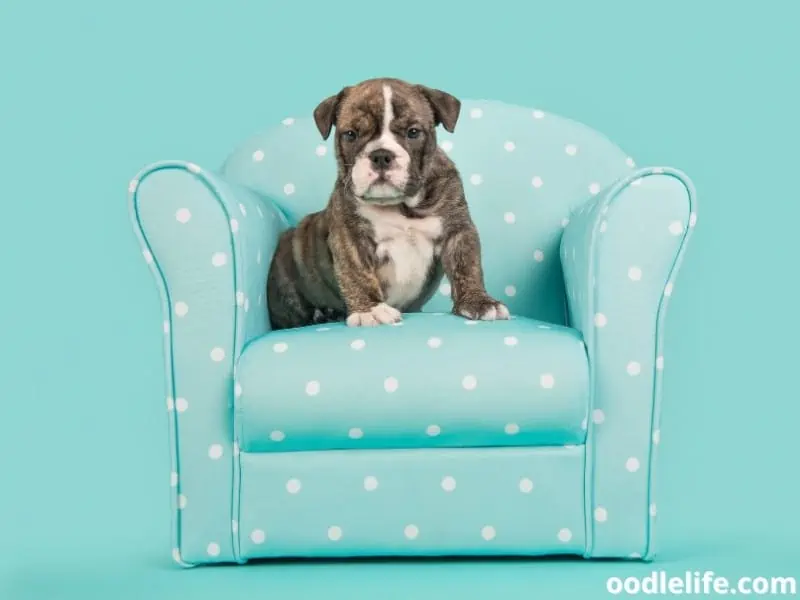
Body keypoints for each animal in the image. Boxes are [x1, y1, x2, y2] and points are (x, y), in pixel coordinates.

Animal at [266, 77, 510, 330]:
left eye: (413, 132)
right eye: (351, 134)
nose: (381, 155)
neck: (401, 205)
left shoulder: (458, 230)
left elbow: (467, 267)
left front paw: (479, 301)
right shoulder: (349, 237)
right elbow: (356, 273)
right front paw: (369, 310)